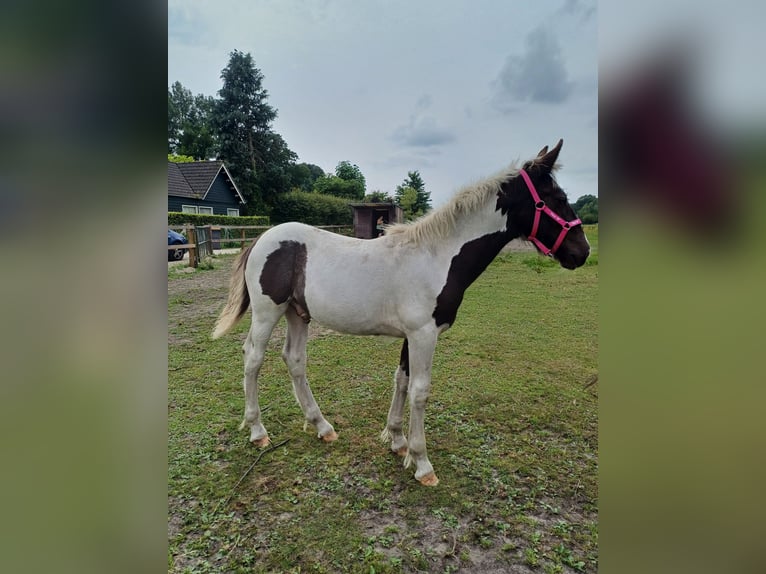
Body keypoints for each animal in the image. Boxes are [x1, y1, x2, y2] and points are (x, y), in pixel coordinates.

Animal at [213, 140, 592, 486]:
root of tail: (261, 238)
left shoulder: (412, 336)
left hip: (297, 313)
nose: (583, 252)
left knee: (294, 360)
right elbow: (420, 391)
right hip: (267, 312)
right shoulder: (424, 334)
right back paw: (258, 430)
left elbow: (402, 380)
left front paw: (397, 440)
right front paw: (422, 462)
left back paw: (322, 426)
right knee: (253, 358)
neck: (437, 257)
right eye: (557, 198)